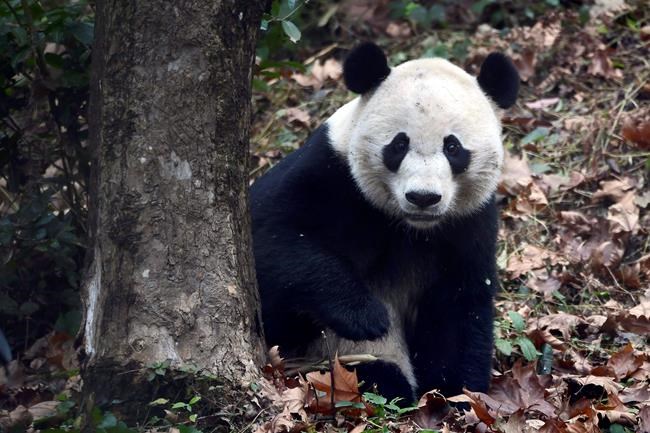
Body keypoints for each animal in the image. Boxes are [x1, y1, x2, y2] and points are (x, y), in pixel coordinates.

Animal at [250, 42, 519, 402]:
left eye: (453, 147)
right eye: (399, 144)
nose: (423, 197)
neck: (410, 228)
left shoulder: (468, 221)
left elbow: (460, 303)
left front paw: (455, 392)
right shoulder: (331, 176)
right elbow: (273, 242)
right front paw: (364, 314)